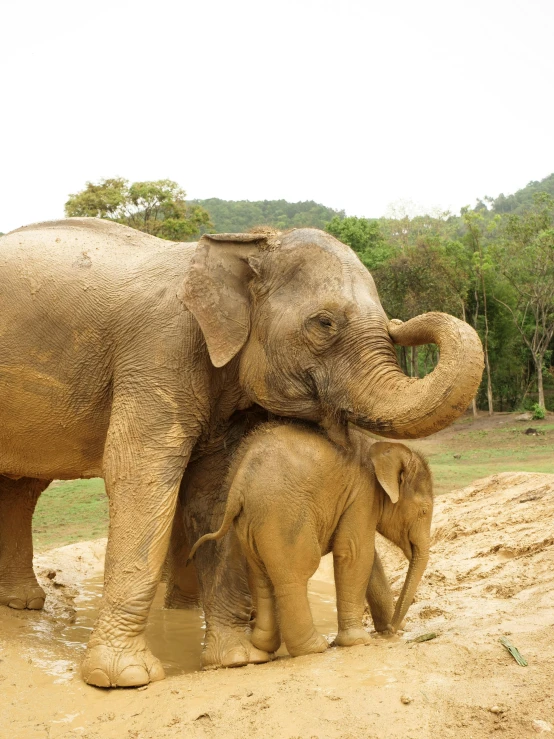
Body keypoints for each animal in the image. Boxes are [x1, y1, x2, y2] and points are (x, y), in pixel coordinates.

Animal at [189, 422, 432, 660]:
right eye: (423, 511)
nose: (393, 629)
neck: (380, 448)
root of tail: (238, 488)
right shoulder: (363, 494)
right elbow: (354, 552)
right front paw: (359, 641)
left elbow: (367, 556)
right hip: (283, 515)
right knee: (297, 571)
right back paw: (315, 647)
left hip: (250, 523)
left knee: (260, 574)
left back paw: (264, 646)